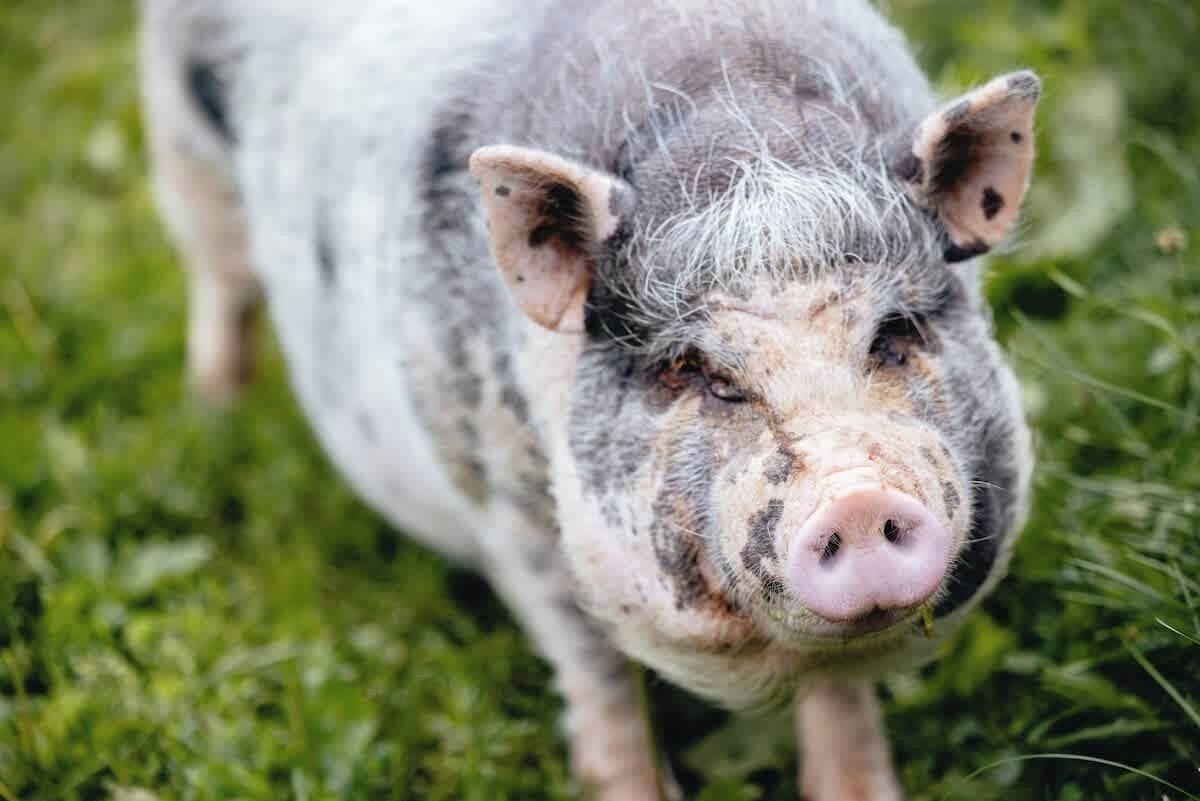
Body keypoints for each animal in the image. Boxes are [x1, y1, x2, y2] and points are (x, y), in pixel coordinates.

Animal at [139, 1, 1037, 798]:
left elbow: (840, 694)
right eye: (696, 370)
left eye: (894, 333)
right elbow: (596, 672)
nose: (856, 499)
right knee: (220, 280)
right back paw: (213, 409)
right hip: (183, 152)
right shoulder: (508, 503)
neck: (737, 134)